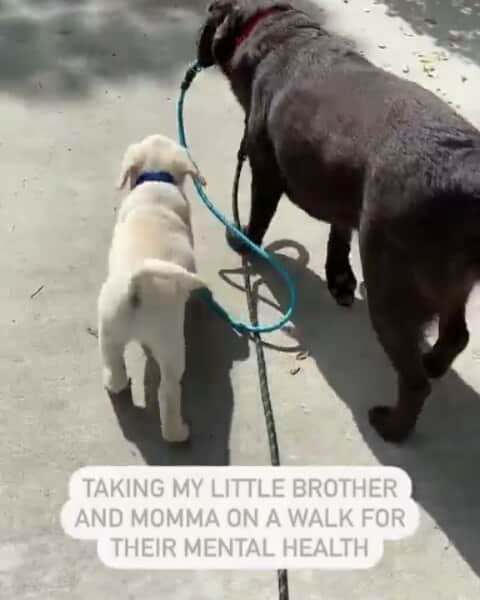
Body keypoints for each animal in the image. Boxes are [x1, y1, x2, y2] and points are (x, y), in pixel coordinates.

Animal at [197, 0, 480, 440]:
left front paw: (243, 241)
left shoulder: (265, 170)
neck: (279, 33)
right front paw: (338, 276)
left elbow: (259, 217)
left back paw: (393, 426)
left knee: (414, 382)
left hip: (390, 290)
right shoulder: (341, 194)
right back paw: (433, 363)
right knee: (456, 337)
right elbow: (338, 234)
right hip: (450, 288)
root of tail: (466, 173)